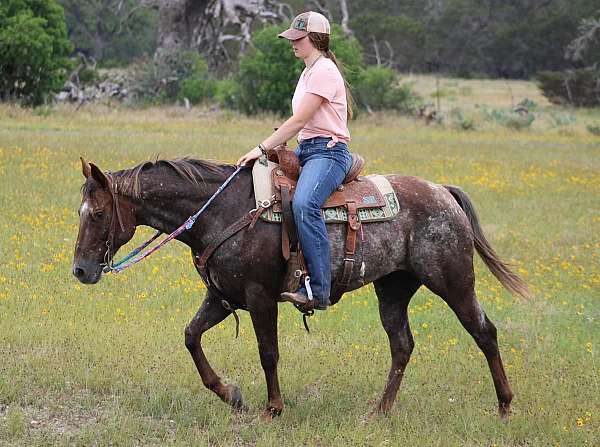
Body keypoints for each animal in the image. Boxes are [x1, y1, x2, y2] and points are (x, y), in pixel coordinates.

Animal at [72, 157, 528, 420]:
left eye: (97, 213)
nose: (80, 270)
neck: (223, 212)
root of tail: (442, 193)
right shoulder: (221, 297)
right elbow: (190, 336)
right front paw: (230, 394)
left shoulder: (259, 297)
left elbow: (268, 353)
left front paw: (273, 408)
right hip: (393, 289)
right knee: (402, 345)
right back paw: (380, 411)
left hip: (453, 282)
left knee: (484, 332)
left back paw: (505, 406)